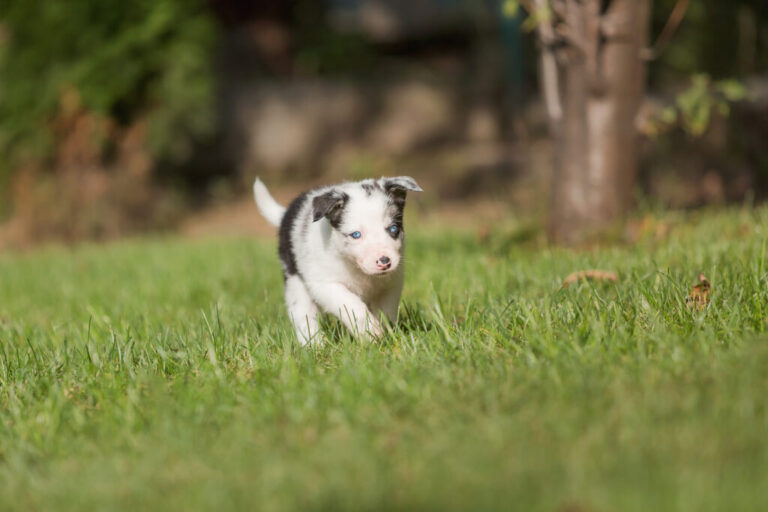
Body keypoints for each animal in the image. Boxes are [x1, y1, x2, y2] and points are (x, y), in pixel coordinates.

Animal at [252, 176, 424, 344]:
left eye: (394, 228)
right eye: (356, 235)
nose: (384, 261)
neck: (356, 268)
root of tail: (286, 215)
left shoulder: (391, 284)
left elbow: (385, 312)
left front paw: (385, 334)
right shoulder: (325, 285)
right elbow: (352, 304)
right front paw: (369, 331)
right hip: (295, 280)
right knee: (303, 313)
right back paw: (314, 344)